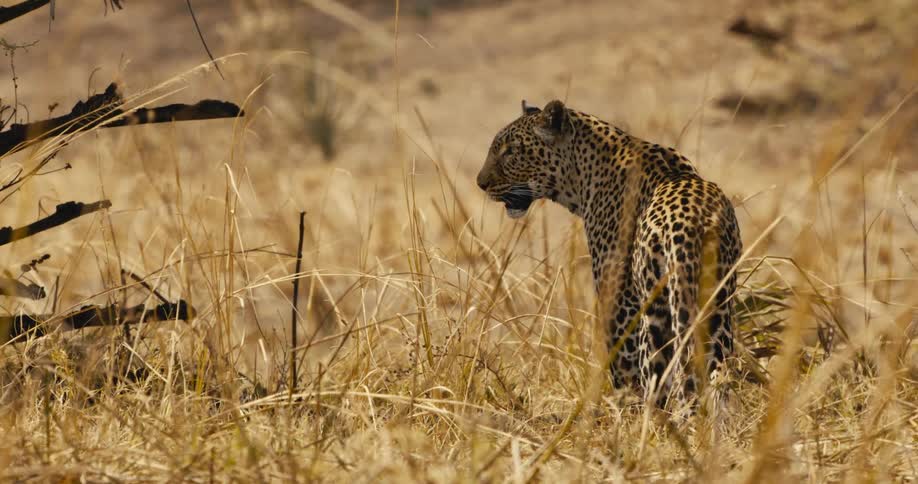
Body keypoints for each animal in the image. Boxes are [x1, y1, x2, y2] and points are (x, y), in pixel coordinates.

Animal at [476, 99, 742, 404]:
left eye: (511, 151)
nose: (480, 183)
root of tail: (688, 224)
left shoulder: (620, 306)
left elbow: (624, 375)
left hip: (655, 313)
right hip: (717, 306)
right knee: (716, 376)